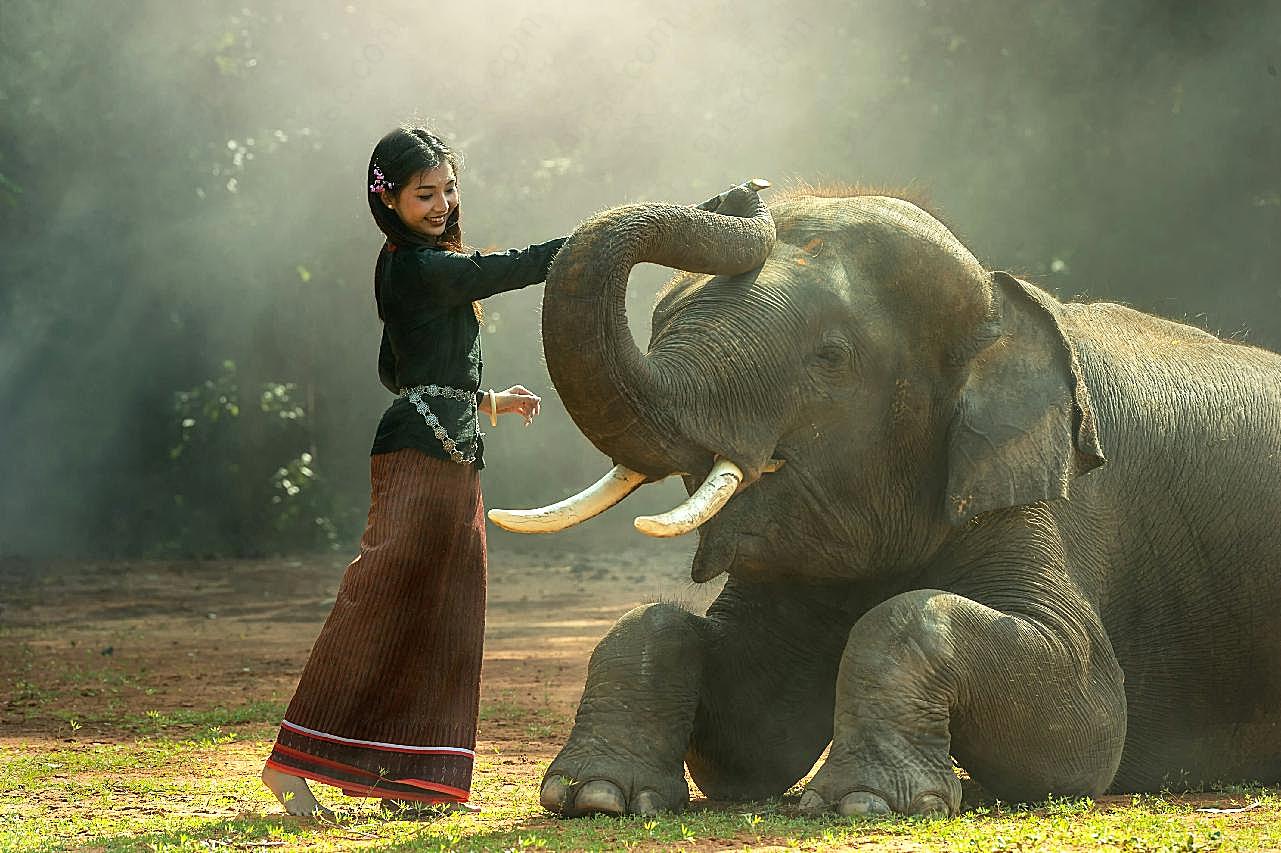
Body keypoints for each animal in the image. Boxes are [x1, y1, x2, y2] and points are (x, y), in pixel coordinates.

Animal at [486, 180, 1281, 819]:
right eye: (659, 325)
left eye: (829, 357)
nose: (744, 191)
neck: (1002, 301)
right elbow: (752, 731)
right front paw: (594, 797)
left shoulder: (1039, 491)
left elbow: (1085, 717)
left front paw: (864, 803)